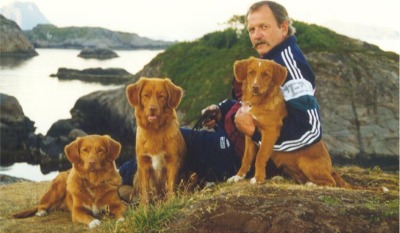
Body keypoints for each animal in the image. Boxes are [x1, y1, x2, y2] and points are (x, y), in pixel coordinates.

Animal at [126, 77, 187, 205]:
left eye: (161, 96)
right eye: (146, 95)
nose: (152, 109)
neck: (155, 131)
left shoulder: (173, 161)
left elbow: (171, 185)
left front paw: (171, 202)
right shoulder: (143, 163)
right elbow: (145, 190)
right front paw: (144, 207)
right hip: (136, 176)